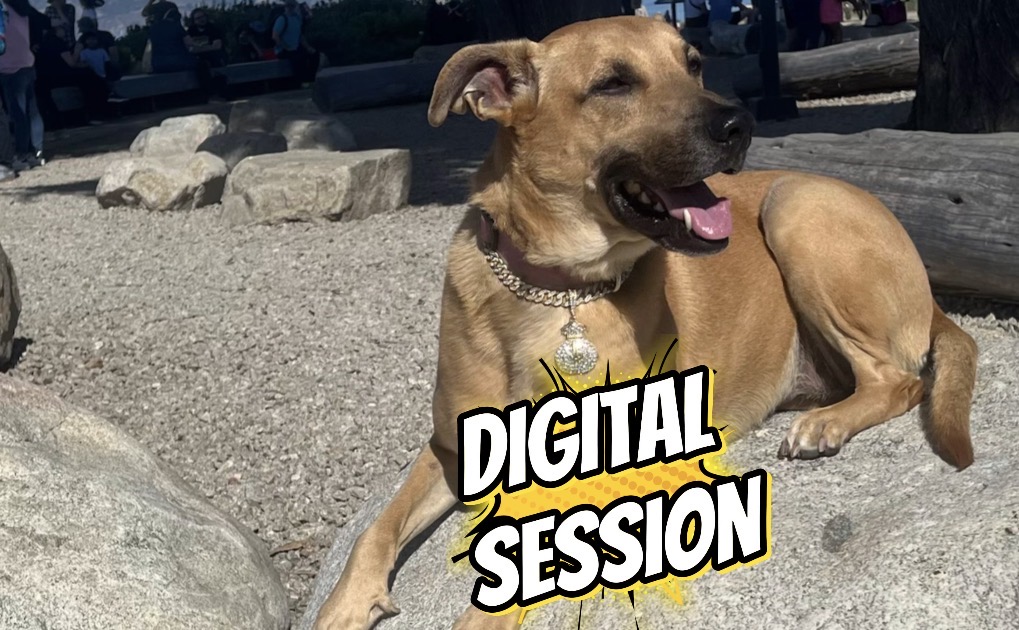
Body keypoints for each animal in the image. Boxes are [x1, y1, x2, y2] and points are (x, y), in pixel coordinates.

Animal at [313, 15, 977, 630]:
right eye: (614, 83)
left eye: (694, 64)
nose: (740, 125)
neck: (558, 291)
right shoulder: (452, 448)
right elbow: (376, 529)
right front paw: (343, 606)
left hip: (794, 208)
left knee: (898, 380)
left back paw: (827, 423)